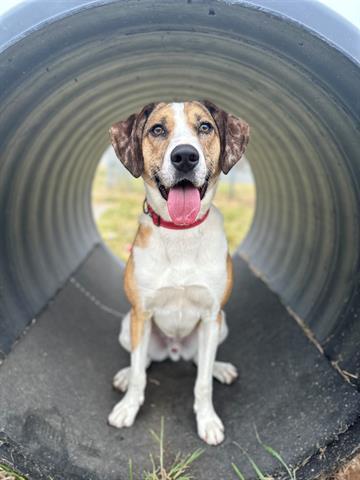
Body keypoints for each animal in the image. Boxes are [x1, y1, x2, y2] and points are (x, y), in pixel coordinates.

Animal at [107, 101, 248, 446]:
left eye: (205, 127)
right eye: (157, 129)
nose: (185, 156)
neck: (181, 232)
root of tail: (173, 351)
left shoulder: (211, 316)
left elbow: (202, 382)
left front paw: (207, 420)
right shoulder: (141, 313)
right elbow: (139, 375)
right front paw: (128, 408)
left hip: (221, 325)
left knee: (199, 360)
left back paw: (220, 368)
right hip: (127, 324)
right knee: (142, 361)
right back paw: (125, 375)